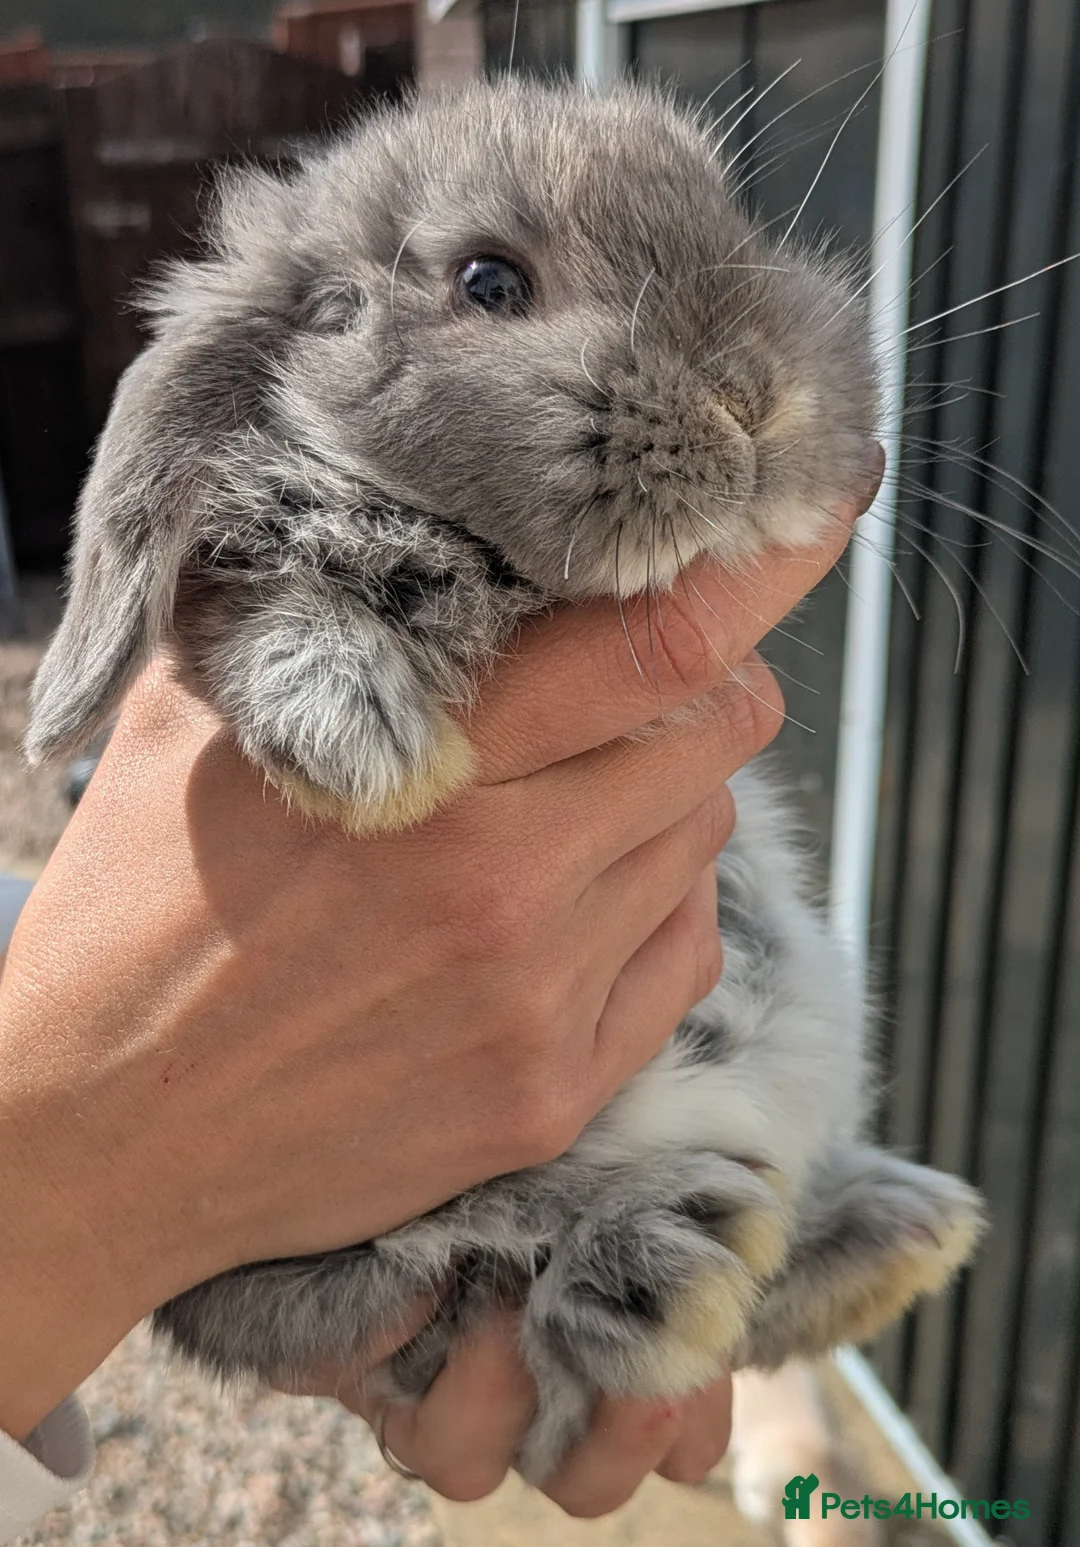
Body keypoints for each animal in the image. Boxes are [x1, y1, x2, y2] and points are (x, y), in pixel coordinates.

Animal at [26, 78, 985, 1485]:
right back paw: (672, 1269)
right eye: (488, 280)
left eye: (732, 215)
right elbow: (259, 603)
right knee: (513, 1281)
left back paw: (891, 1236)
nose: (752, 395)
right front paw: (360, 740)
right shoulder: (248, 568)